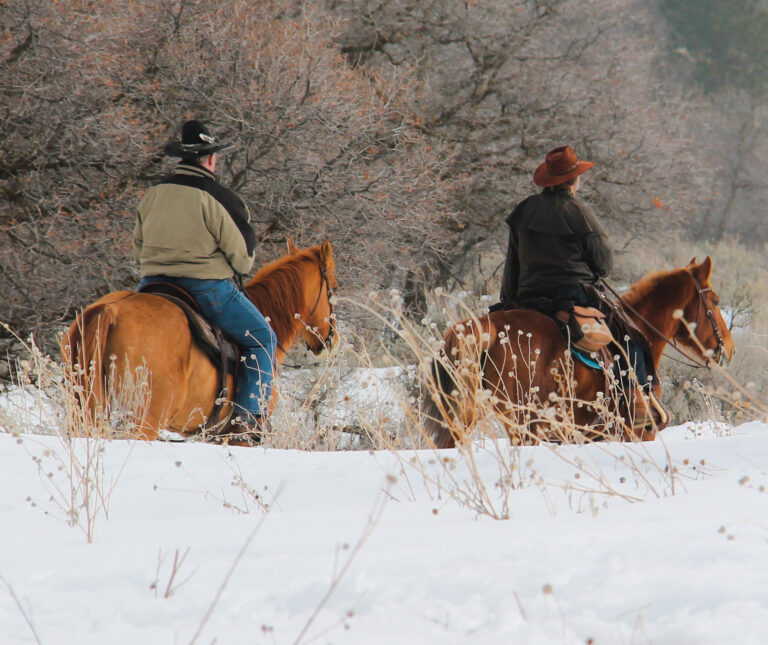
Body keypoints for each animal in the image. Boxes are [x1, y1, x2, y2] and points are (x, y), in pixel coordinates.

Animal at [423, 256, 735, 448]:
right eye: (715, 301)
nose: (729, 349)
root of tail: (482, 327)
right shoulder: (638, 435)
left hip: (467, 412)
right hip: (522, 423)